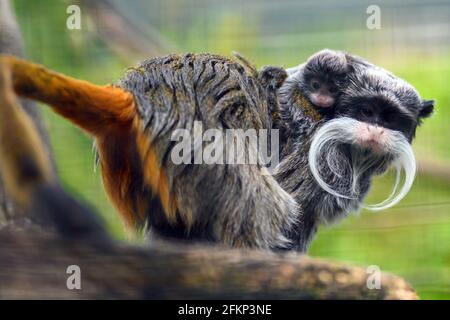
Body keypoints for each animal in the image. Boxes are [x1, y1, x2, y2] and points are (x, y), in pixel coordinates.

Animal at [0, 50, 436, 251]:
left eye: (389, 118)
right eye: (365, 112)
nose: (374, 130)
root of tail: (137, 94)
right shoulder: (317, 154)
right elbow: (289, 205)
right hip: (194, 139)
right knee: (261, 201)